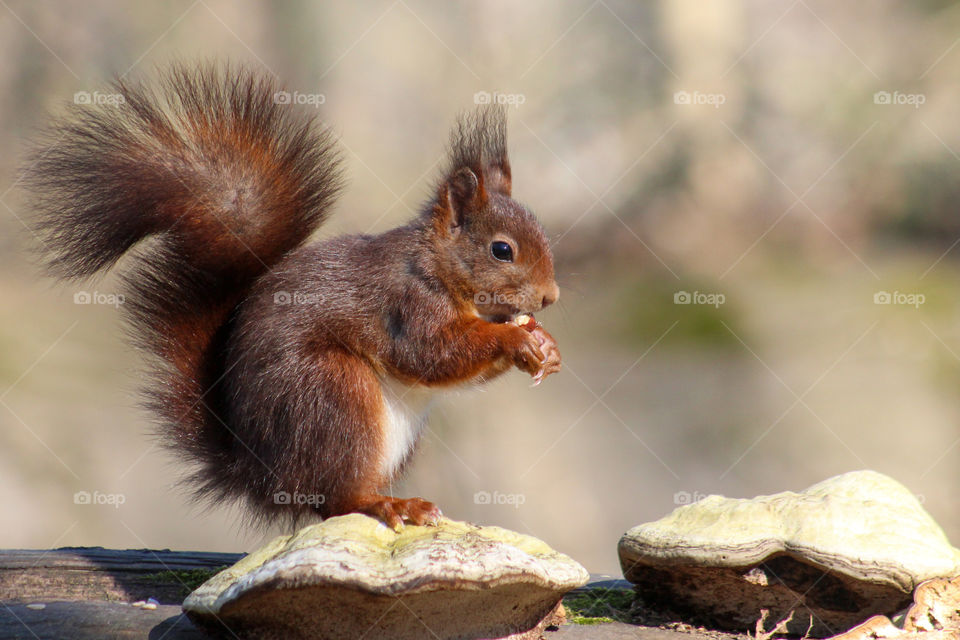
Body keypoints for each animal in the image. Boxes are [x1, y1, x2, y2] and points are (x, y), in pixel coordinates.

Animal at [25, 63, 561, 531]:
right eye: (502, 250)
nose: (551, 297)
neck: (439, 268)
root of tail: (261, 473)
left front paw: (545, 346)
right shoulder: (408, 303)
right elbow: (433, 354)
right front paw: (515, 341)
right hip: (333, 394)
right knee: (338, 497)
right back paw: (389, 505)